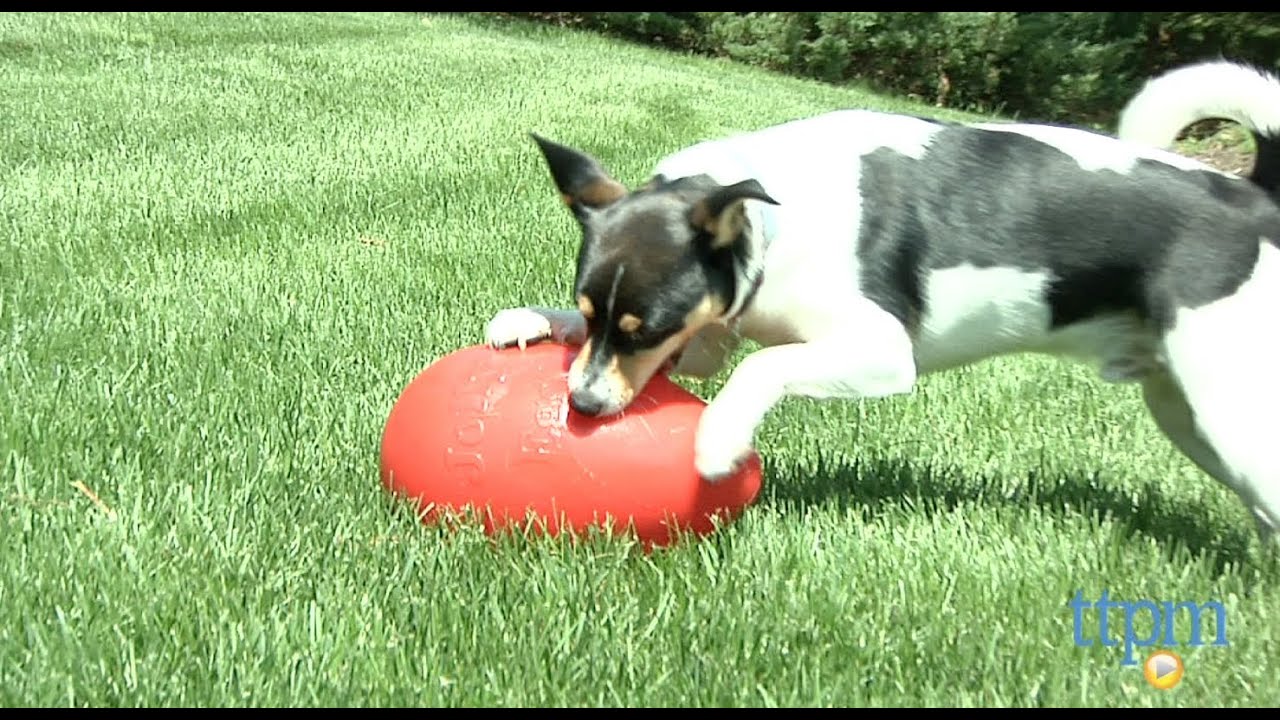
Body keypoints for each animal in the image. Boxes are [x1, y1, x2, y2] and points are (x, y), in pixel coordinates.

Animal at [483, 60, 1280, 543]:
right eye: (595, 317)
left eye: (645, 328)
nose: (583, 405)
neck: (774, 222)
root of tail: (1256, 198)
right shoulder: (713, 337)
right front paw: (532, 320)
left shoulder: (880, 352)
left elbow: (763, 368)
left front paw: (719, 439)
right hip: (1190, 417)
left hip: (1228, 407)